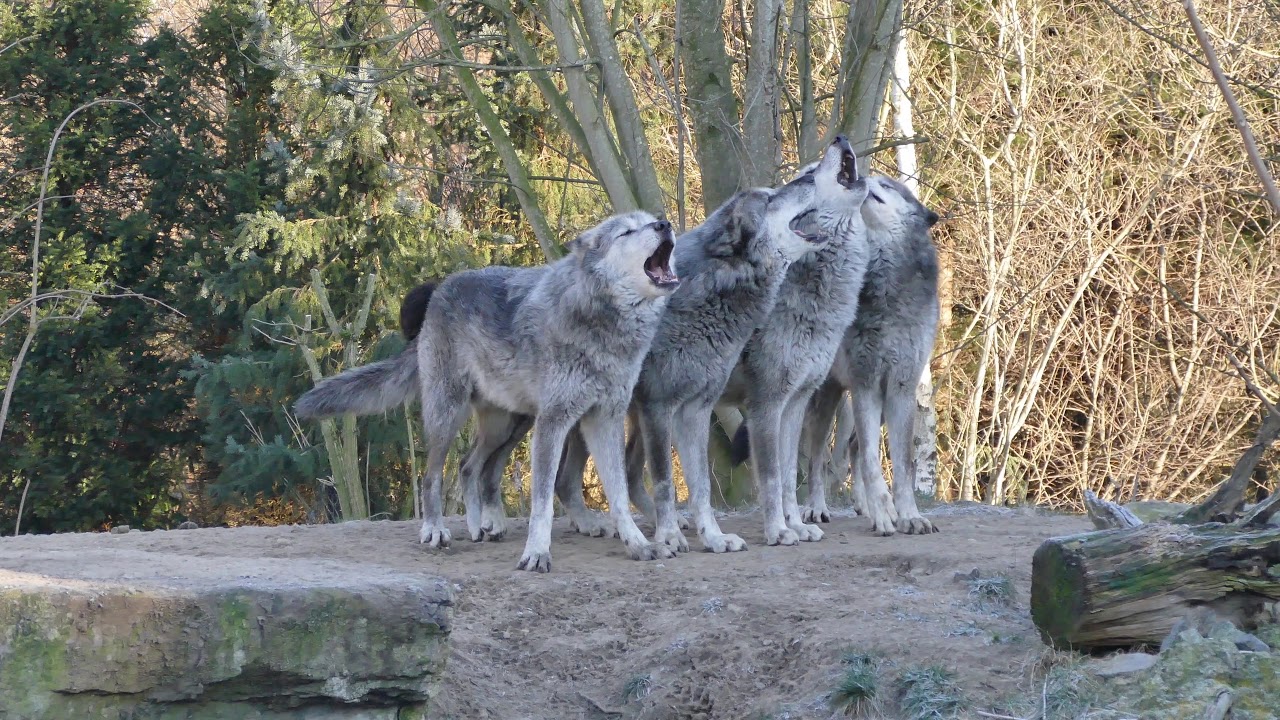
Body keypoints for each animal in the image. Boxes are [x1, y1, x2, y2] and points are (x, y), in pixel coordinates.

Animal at [294, 210, 680, 568]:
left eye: (650, 220)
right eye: (627, 231)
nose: (665, 224)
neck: (601, 323)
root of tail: (439, 290)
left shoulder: (605, 419)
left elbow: (618, 493)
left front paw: (638, 544)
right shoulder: (554, 422)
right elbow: (542, 501)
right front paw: (536, 553)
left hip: (509, 425)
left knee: (470, 465)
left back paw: (481, 526)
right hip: (450, 416)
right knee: (432, 477)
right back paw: (435, 530)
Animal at [716, 139, 875, 543]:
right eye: (808, 172)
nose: (840, 138)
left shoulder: (795, 402)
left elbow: (788, 474)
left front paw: (797, 526)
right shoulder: (766, 404)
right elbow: (772, 477)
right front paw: (777, 530)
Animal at [798, 174, 942, 532]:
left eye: (887, 184)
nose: (862, 176)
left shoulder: (901, 387)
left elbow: (903, 465)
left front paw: (909, 516)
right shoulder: (866, 384)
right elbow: (871, 461)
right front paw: (885, 514)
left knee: (851, 448)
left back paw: (863, 506)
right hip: (827, 400)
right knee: (816, 460)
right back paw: (815, 509)